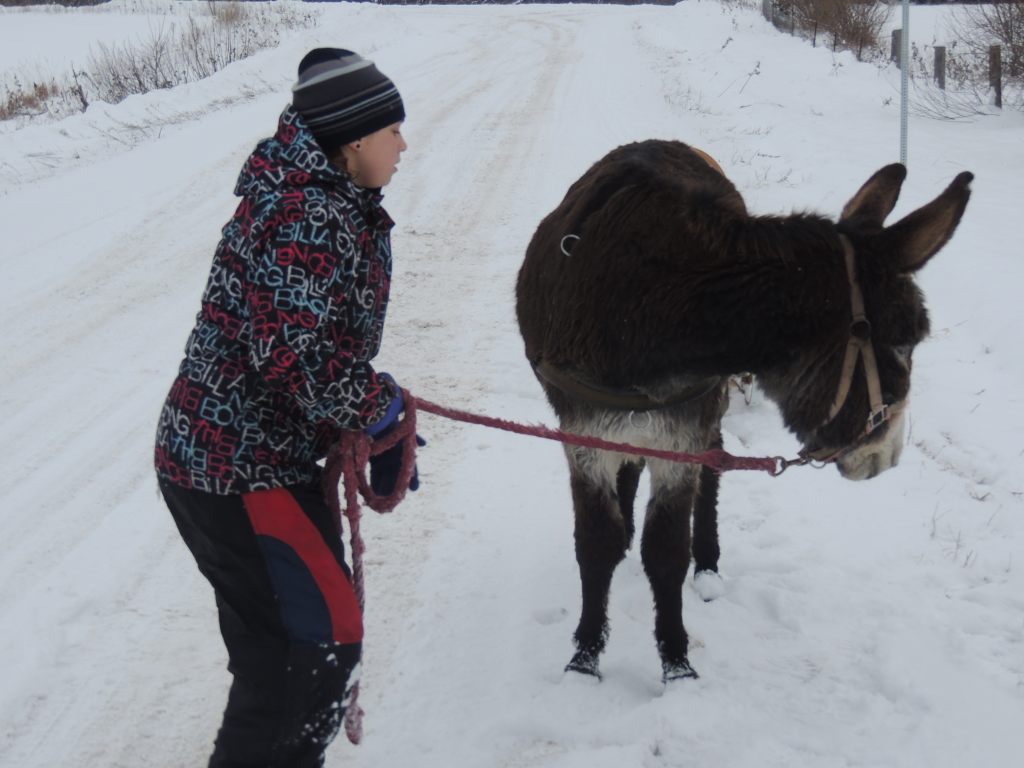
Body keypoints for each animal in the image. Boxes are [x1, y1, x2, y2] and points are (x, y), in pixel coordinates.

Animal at [514, 140, 972, 682]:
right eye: (905, 343)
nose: (886, 457)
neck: (652, 297)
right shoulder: (582, 432)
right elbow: (595, 543)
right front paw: (585, 658)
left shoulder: (682, 433)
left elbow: (666, 550)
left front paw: (676, 664)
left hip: (708, 406)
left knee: (713, 465)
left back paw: (708, 565)